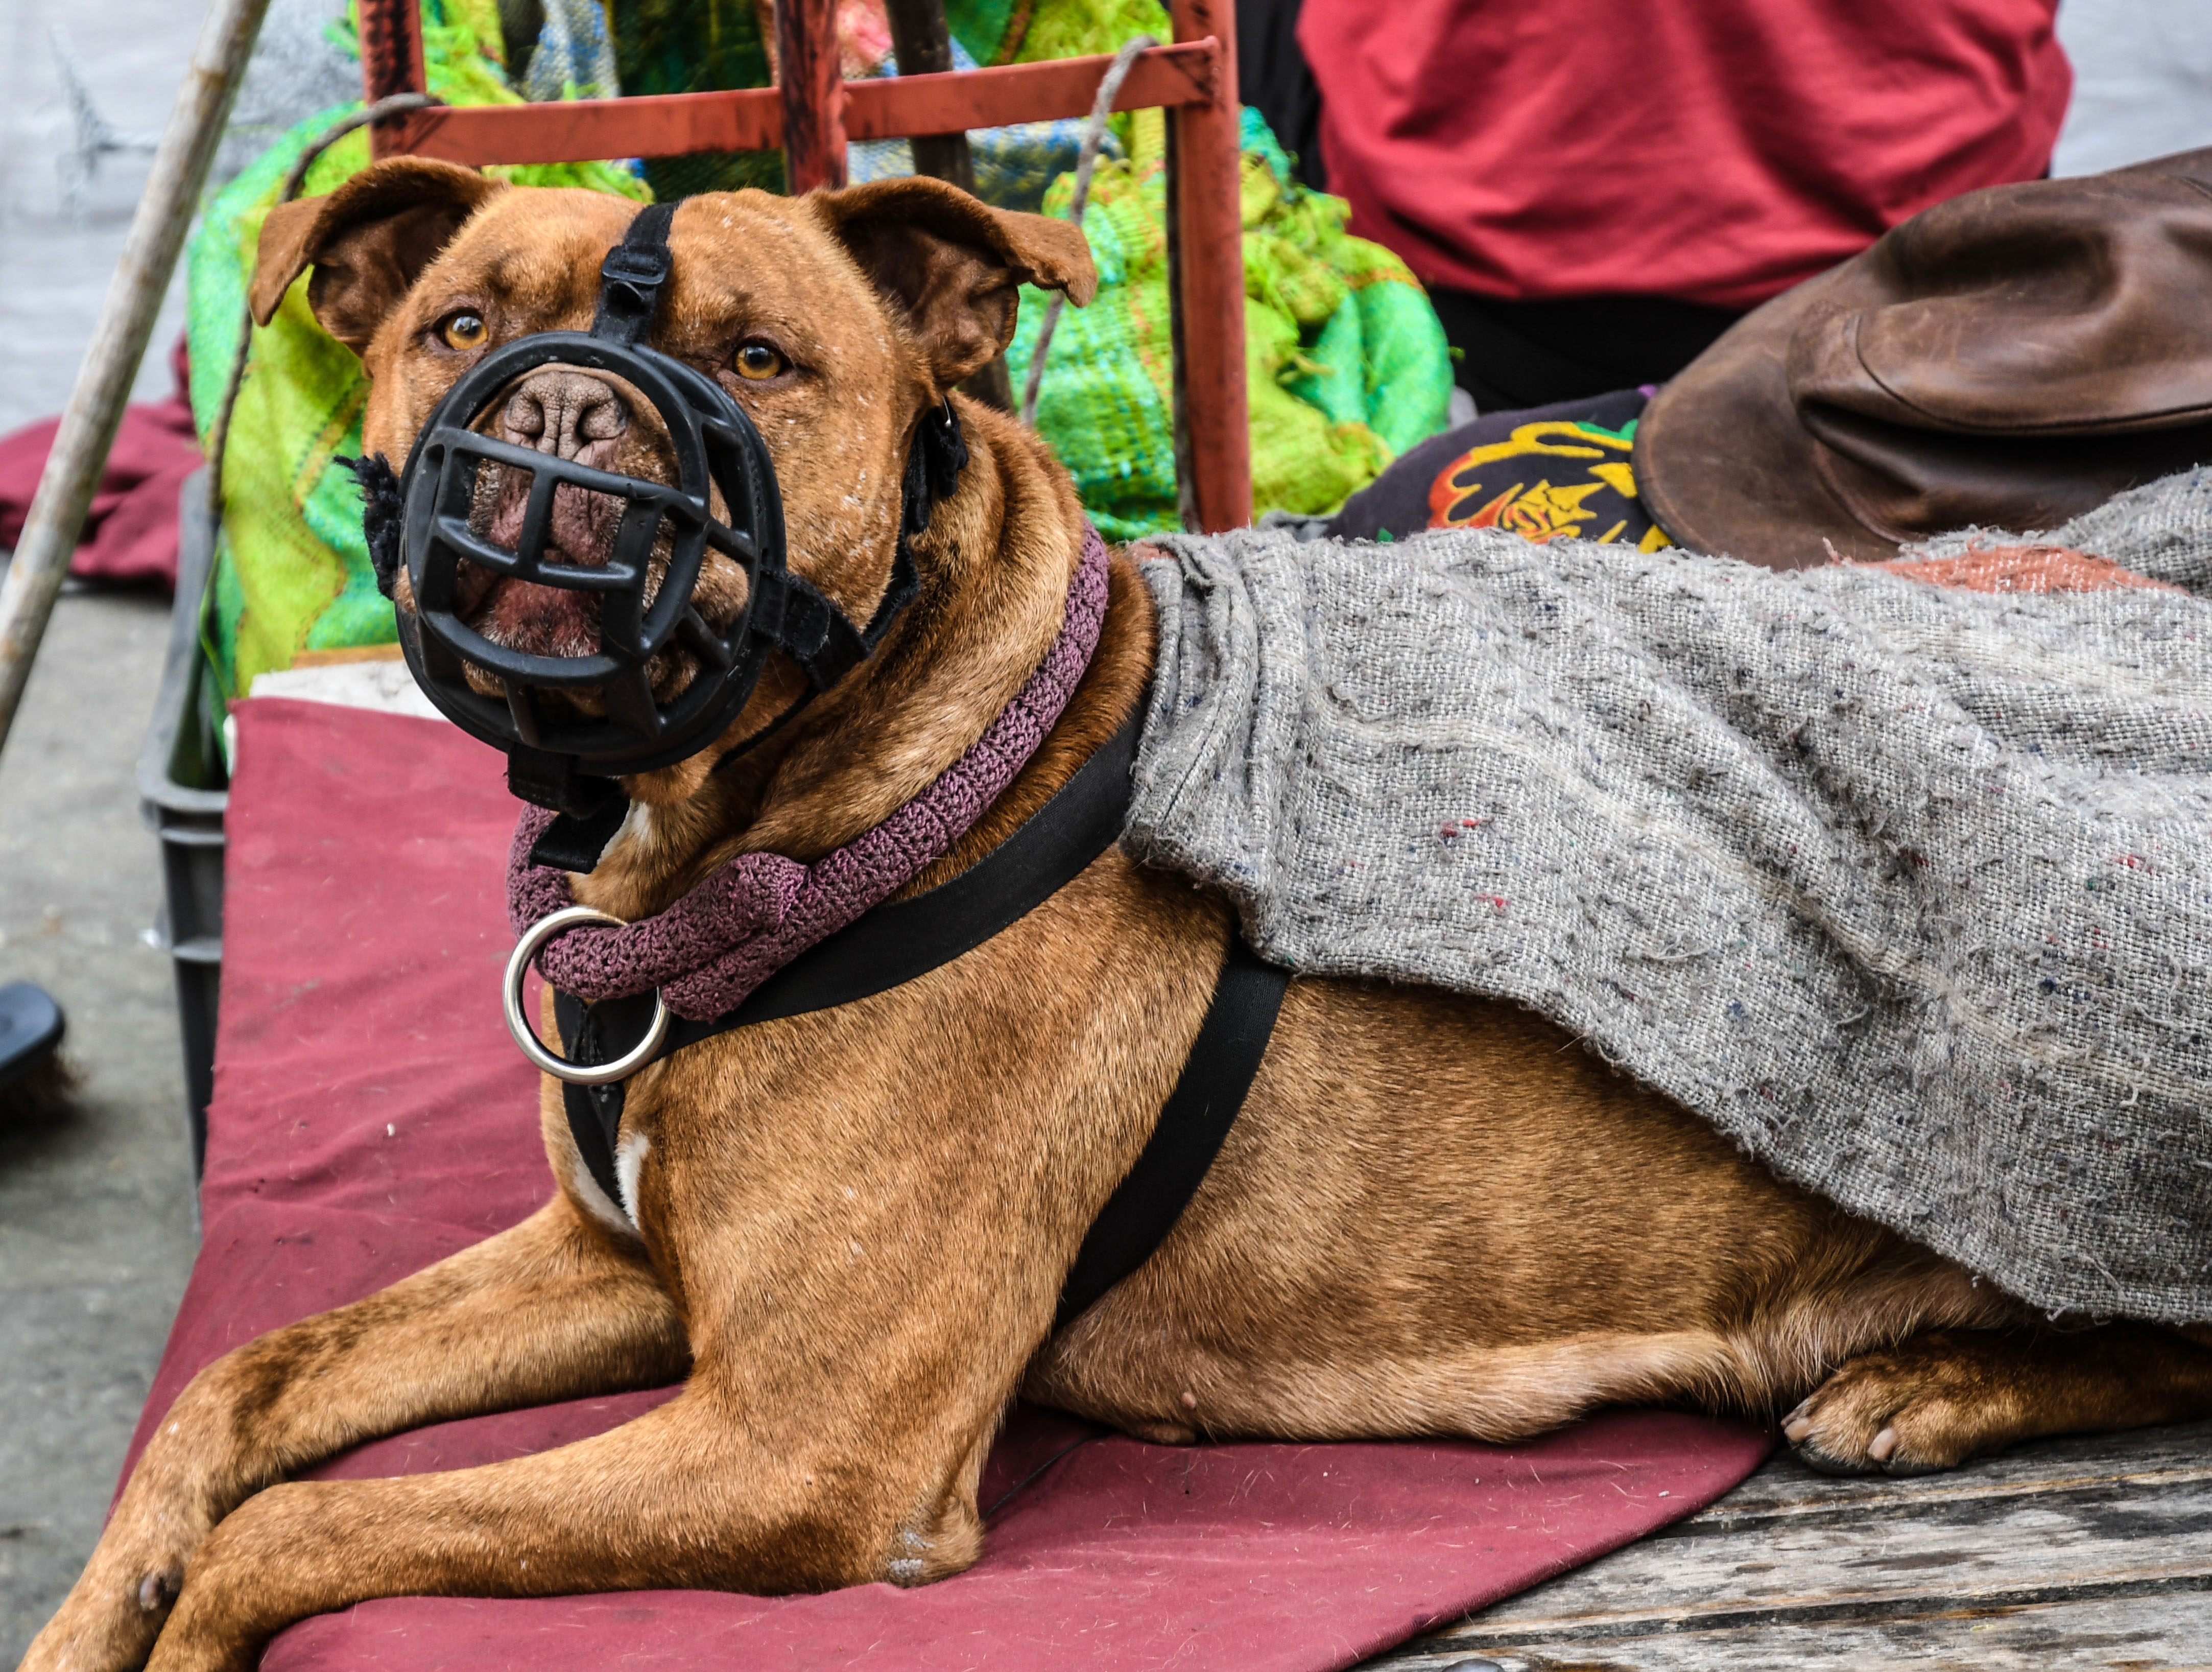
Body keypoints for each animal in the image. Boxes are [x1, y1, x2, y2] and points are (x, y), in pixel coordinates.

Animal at [24, 160, 2212, 1672]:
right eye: (458, 322)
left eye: (757, 358)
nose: (561, 415)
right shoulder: (623, 1271)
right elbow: (249, 1389)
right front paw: (89, 1614)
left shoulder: (796, 1446)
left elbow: (305, 1532)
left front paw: (192, 1622)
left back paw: (1928, 1382)